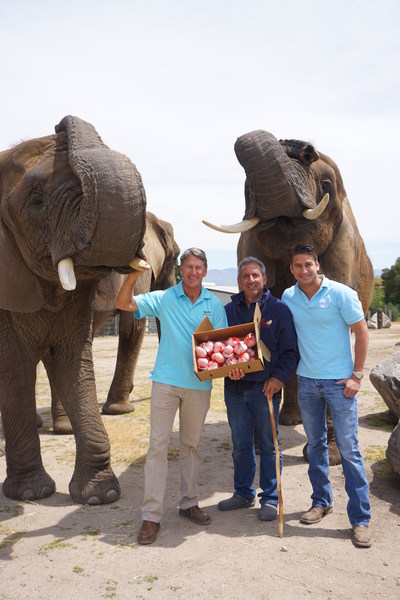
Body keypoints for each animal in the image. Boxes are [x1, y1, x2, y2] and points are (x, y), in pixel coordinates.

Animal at [0, 115, 147, 504]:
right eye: (36, 201)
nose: (61, 122)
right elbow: (15, 369)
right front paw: (31, 493)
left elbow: (72, 364)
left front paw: (99, 496)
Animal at [203, 129, 376, 462]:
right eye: (246, 186)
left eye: (325, 185)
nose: (300, 146)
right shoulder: (249, 243)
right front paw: (261, 450)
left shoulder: (343, 245)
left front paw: (330, 457)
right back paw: (287, 422)